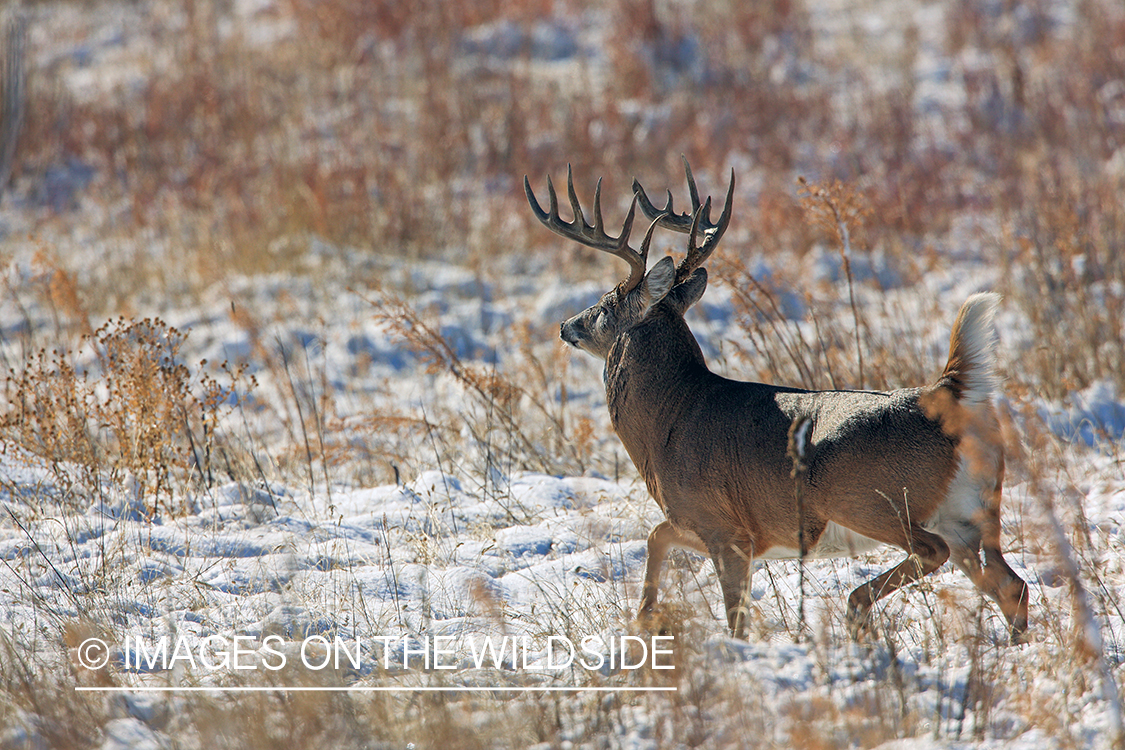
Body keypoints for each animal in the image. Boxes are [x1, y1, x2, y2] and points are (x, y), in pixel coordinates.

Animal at [526, 161, 1030, 643]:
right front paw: (645, 617)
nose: (566, 326)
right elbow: (655, 536)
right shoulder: (709, 525)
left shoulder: (724, 528)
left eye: (605, 304)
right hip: (973, 511)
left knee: (935, 552)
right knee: (1012, 585)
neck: (667, 421)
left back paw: (857, 606)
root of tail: (945, 394)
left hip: (870, 500)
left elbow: (735, 618)